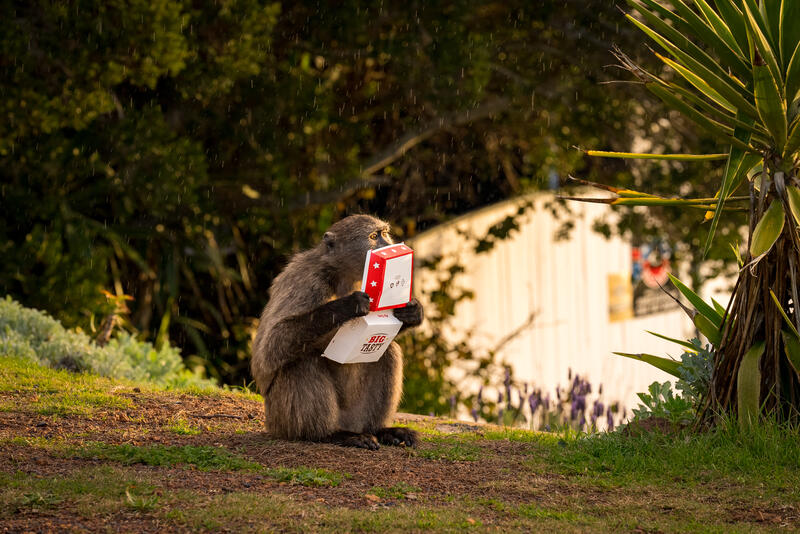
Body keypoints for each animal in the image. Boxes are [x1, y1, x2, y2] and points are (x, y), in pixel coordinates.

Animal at [251, 214, 424, 450]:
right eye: (373, 236)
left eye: (385, 233)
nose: (390, 246)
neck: (343, 276)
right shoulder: (307, 280)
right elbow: (271, 347)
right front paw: (349, 305)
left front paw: (412, 311)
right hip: (281, 418)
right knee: (302, 361)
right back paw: (331, 435)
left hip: (356, 416)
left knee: (388, 352)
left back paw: (380, 430)